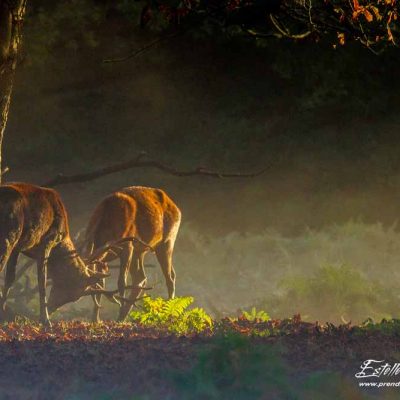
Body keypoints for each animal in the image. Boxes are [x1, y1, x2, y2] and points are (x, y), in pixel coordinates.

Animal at [0, 183, 126, 326]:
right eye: (71, 293)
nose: (52, 308)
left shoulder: (18, 248)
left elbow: (10, 279)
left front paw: (4, 313)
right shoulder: (47, 241)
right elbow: (42, 281)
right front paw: (45, 320)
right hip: (9, 235)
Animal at [84, 187, 181, 322]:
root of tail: (176, 207)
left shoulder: (128, 246)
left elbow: (121, 282)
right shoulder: (103, 256)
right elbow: (101, 283)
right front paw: (96, 320)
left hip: (167, 241)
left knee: (169, 277)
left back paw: (167, 314)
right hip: (140, 251)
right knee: (141, 278)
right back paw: (124, 315)